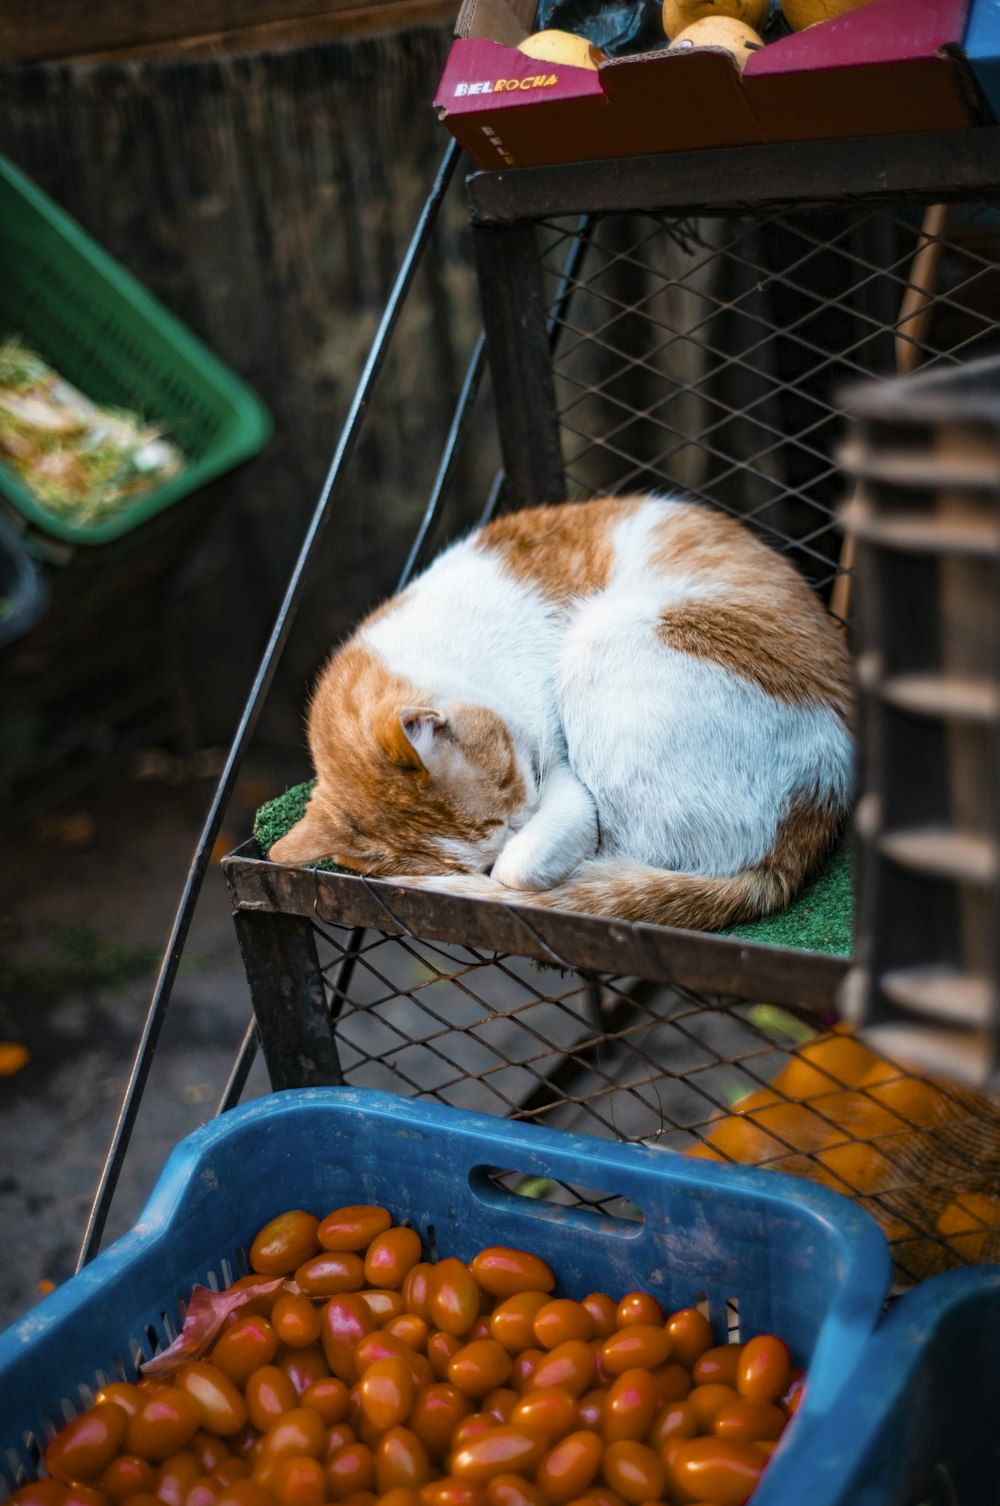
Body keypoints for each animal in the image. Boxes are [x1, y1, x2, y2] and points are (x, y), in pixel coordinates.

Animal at [271, 493, 849, 927]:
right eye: (502, 810)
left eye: (510, 796)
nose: (524, 821)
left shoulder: (564, 781)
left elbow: (518, 868)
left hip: (603, 636)